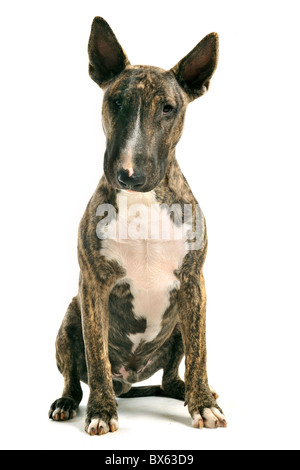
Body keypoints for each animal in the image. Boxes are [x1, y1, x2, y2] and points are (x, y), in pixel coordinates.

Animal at [49, 16, 226, 436]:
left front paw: (203, 405)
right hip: (69, 317)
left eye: (168, 108)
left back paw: (192, 393)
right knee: (72, 376)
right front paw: (101, 411)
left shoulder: (194, 283)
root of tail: (129, 379)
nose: (129, 174)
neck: (143, 205)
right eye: (115, 101)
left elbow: (200, 352)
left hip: (176, 324)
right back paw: (69, 402)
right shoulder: (93, 286)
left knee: (171, 376)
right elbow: (96, 356)